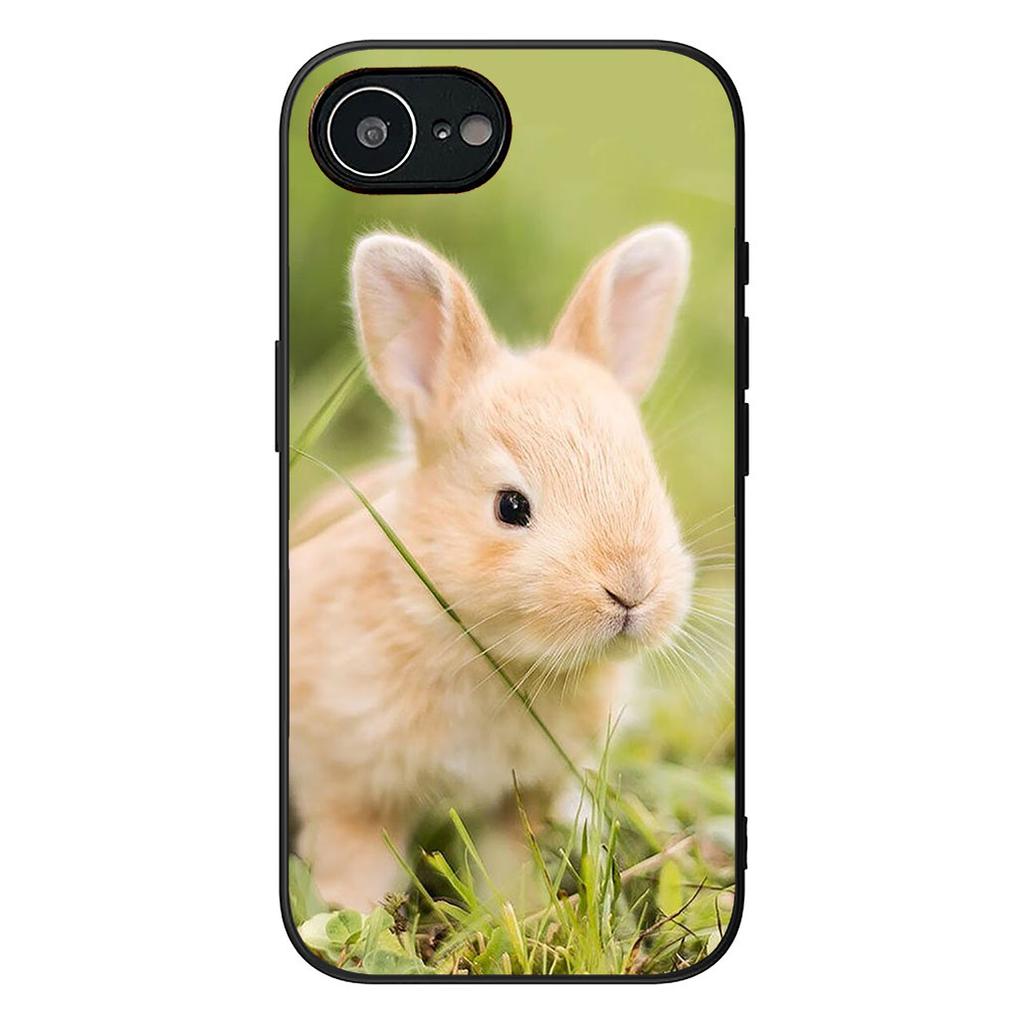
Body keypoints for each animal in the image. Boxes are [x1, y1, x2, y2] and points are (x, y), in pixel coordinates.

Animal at [289, 224, 695, 911]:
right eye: (511, 507)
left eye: (652, 482)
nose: (631, 590)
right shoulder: (349, 785)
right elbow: (356, 856)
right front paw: (353, 912)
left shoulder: (523, 794)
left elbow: (510, 856)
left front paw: (517, 910)